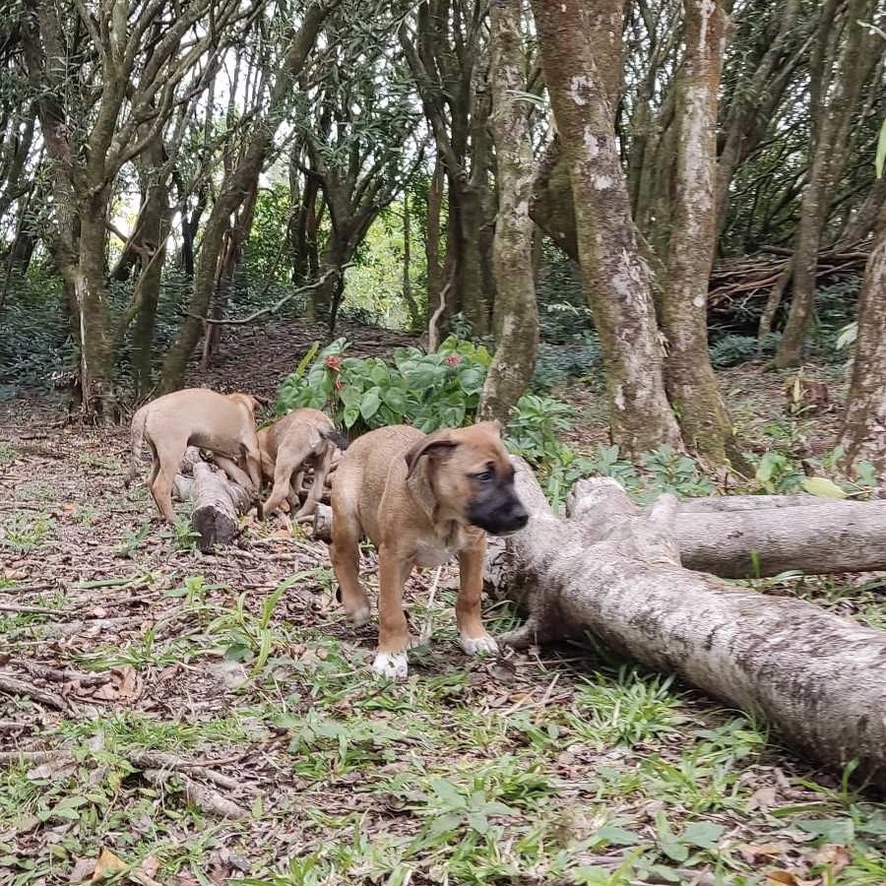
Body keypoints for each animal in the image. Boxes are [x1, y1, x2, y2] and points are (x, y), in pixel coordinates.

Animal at [127, 390, 264, 528]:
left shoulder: (221, 456)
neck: (241, 403)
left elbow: (241, 474)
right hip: (173, 454)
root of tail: (148, 408)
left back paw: (162, 515)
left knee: (150, 481)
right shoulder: (253, 452)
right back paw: (174, 520)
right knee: (161, 488)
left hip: (158, 456)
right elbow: (256, 479)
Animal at [332, 424, 528, 680]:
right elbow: (391, 611)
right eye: (484, 476)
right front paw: (390, 658)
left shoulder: (474, 548)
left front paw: (474, 636)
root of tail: (364, 438)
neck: (445, 517)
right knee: (341, 556)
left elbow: (470, 595)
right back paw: (356, 604)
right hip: (347, 516)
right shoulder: (393, 555)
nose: (523, 517)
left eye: (513, 475)